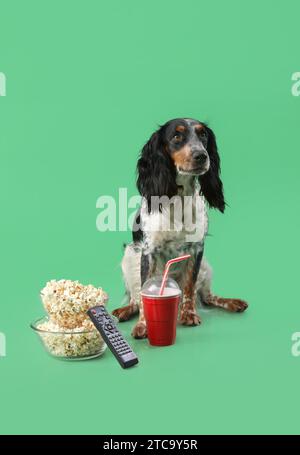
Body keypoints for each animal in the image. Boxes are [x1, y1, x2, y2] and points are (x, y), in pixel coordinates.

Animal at [112, 117, 248, 338]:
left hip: (206, 266)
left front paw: (189, 314)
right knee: (134, 297)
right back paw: (124, 311)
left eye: (203, 135)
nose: (202, 156)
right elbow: (143, 293)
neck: (179, 196)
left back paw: (231, 302)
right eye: (177, 136)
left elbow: (190, 287)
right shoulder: (148, 251)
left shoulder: (197, 249)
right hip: (129, 256)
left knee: (206, 296)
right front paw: (142, 325)